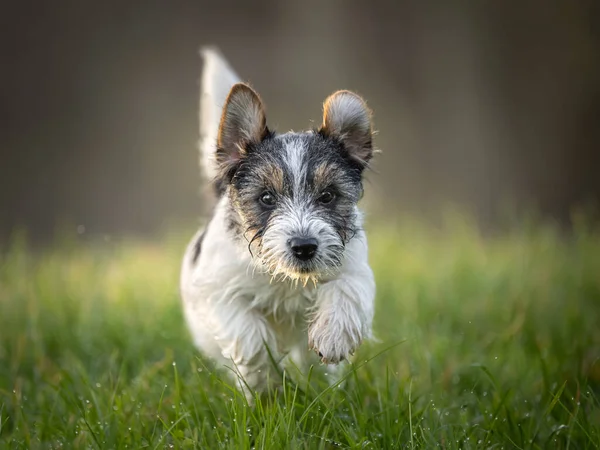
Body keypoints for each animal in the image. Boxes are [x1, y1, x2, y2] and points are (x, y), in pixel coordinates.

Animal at [179, 48, 376, 400]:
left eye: (328, 196)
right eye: (267, 198)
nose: (304, 247)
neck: (286, 279)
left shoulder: (355, 268)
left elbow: (347, 290)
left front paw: (332, 339)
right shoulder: (216, 289)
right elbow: (248, 333)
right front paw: (263, 382)